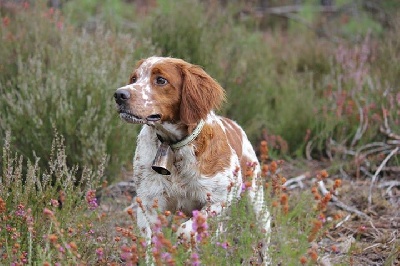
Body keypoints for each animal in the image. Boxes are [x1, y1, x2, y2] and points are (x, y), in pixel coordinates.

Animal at [113, 56, 268, 262]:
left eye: (161, 80)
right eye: (134, 78)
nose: (119, 95)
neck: (174, 148)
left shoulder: (220, 199)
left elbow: (186, 229)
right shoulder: (149, 203)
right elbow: (153, 246)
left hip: (256, 201)